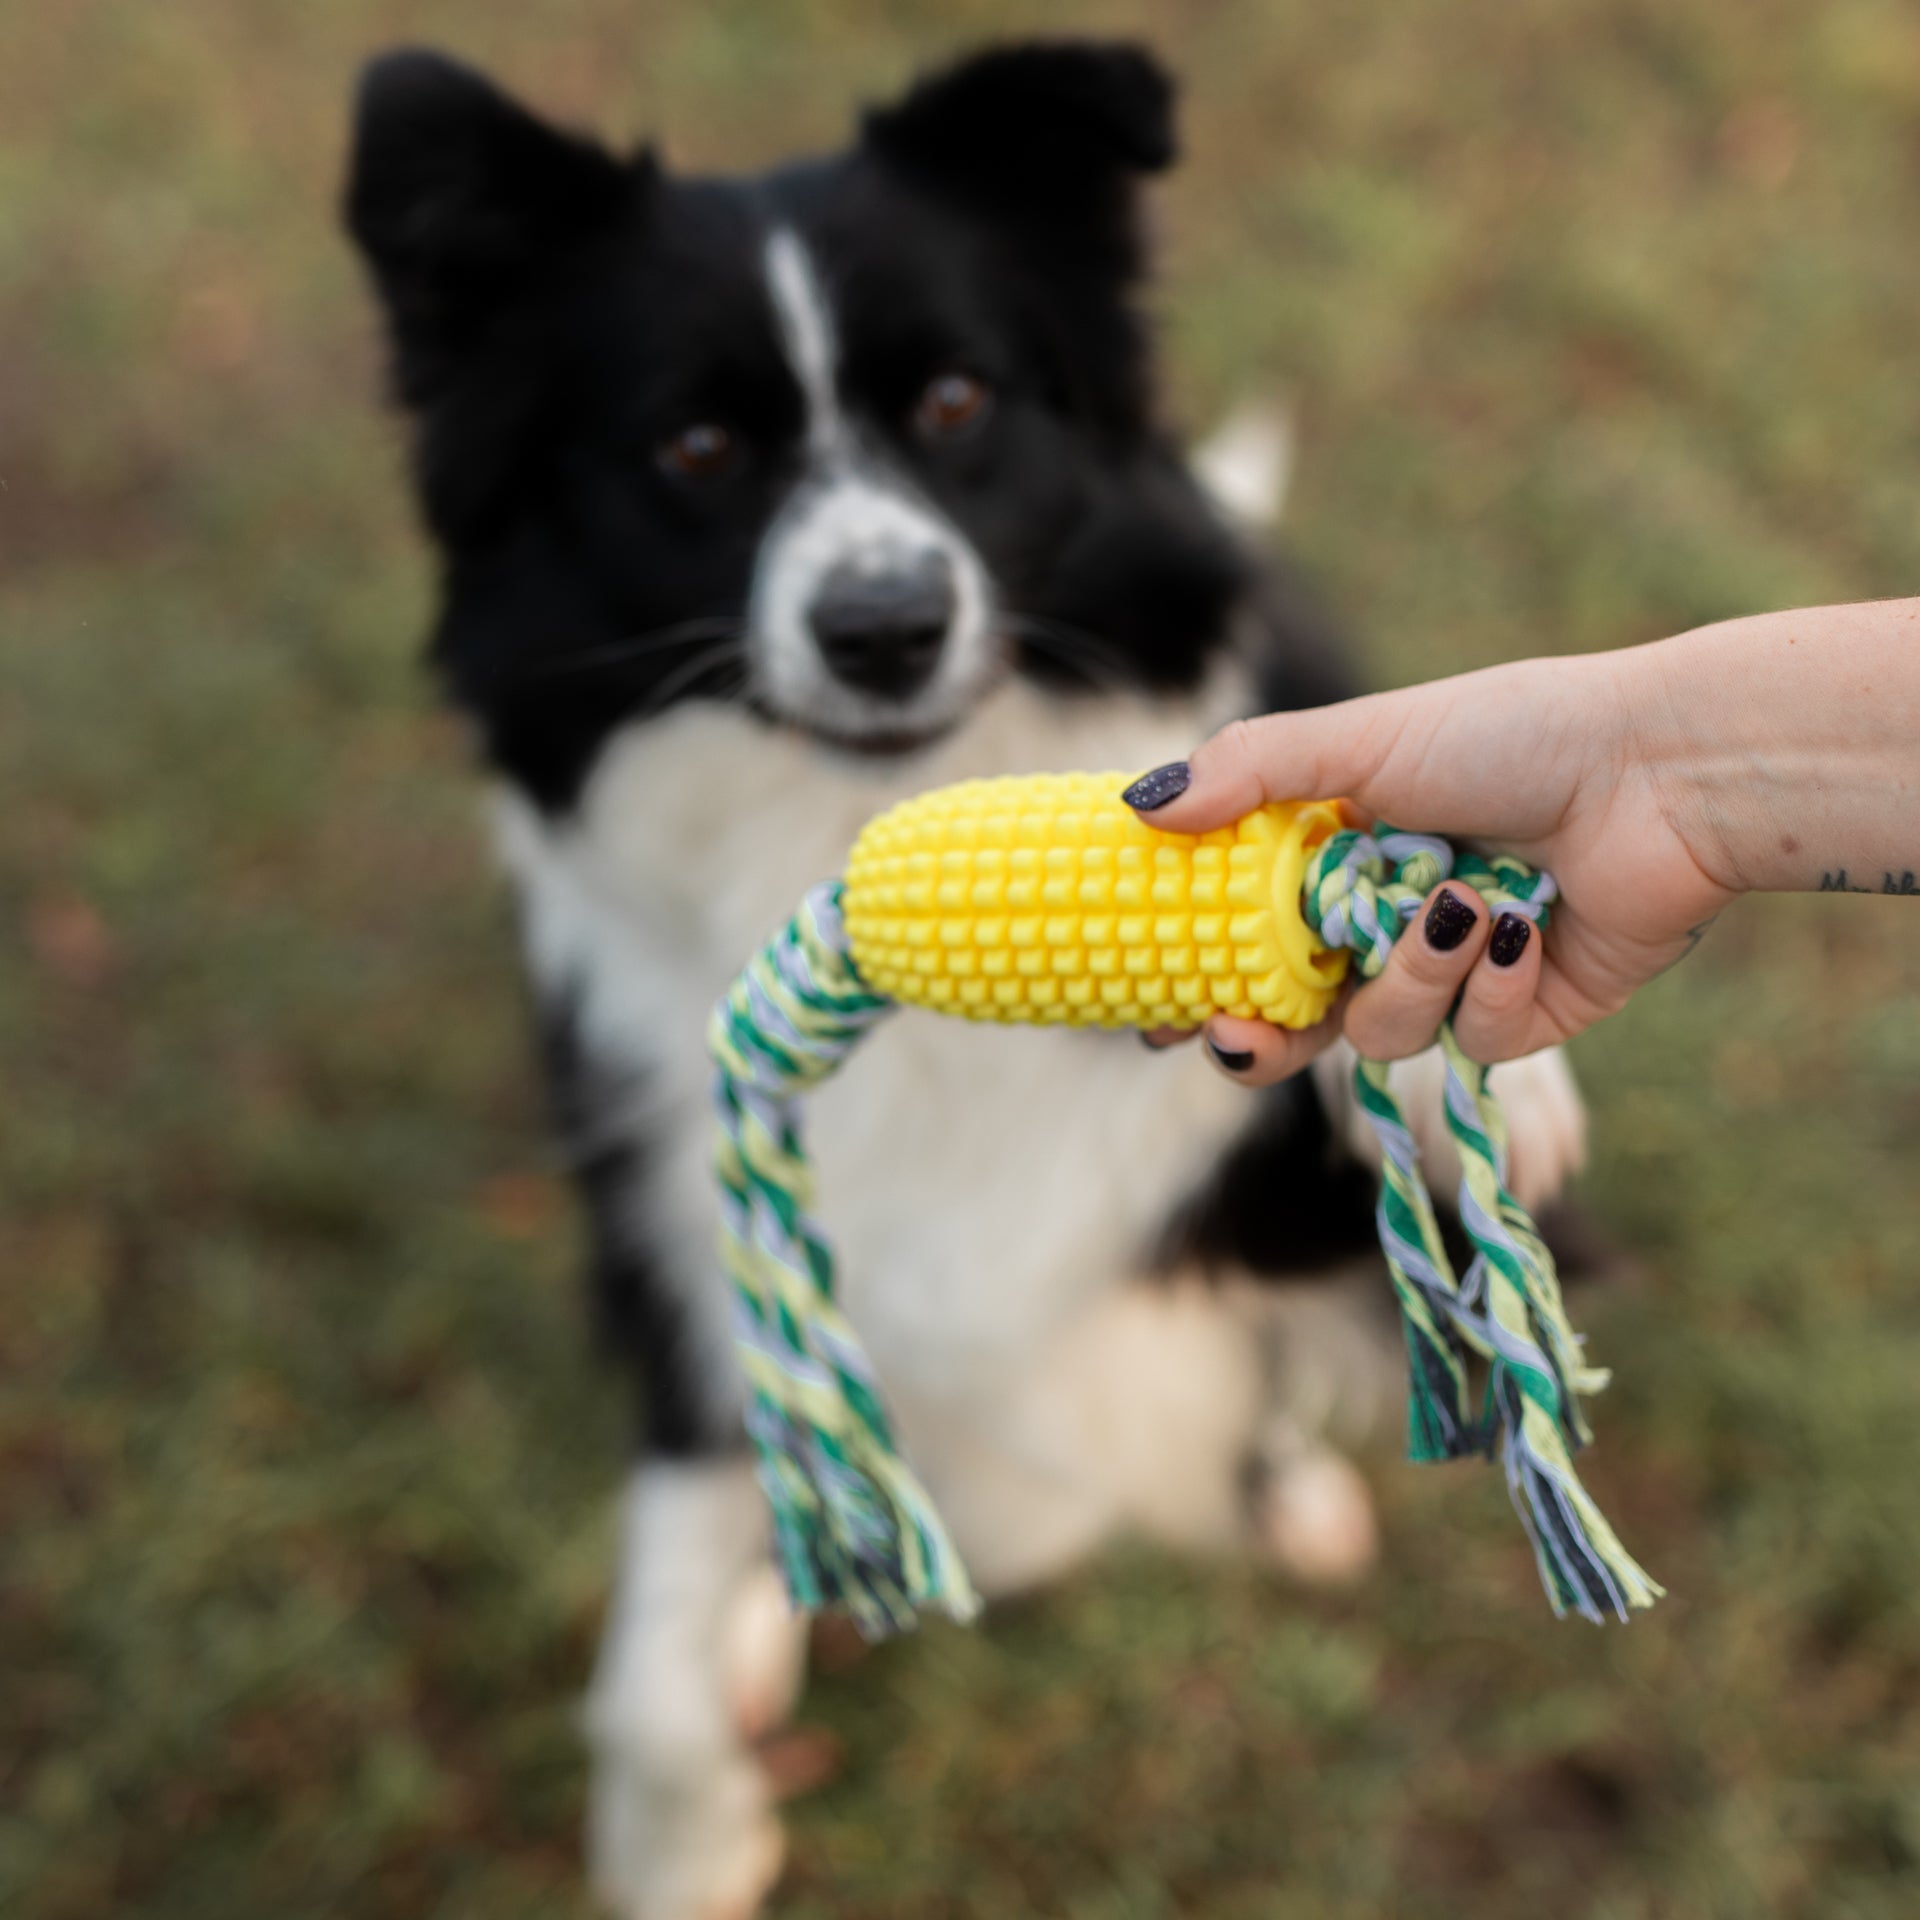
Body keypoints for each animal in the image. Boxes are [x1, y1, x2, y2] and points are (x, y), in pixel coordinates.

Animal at [345, 45, 1589, 1920]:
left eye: (953, 403)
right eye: (697, 448)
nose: (883, 626)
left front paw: (1457, 1038)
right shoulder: (671, 1257)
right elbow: (651, 1670)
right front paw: (682, 1846)